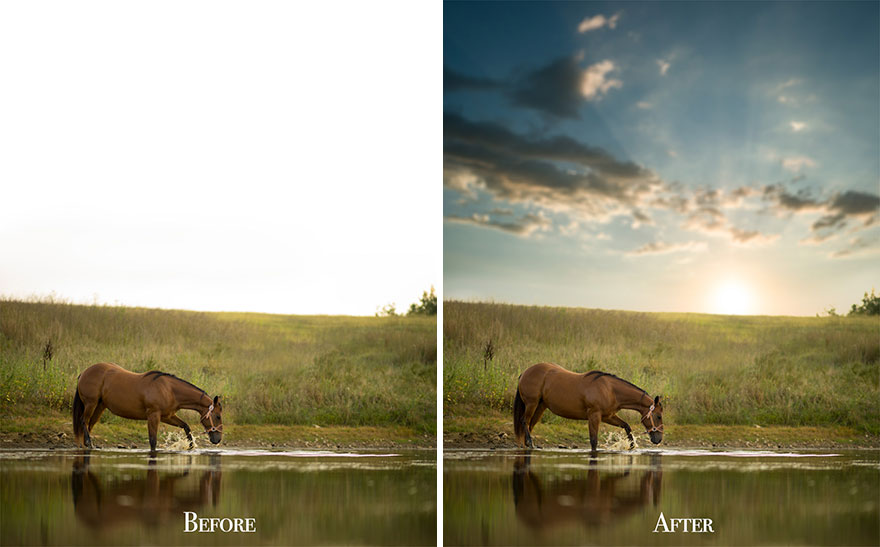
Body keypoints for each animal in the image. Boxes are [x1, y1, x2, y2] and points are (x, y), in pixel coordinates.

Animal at [74, 366, 223, 452]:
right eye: (218, 416)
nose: (218, 439)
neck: (170, 390)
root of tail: (84, 372)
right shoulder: (153, 416)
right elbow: (153, 441)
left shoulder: (167, 416)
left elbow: (185, 426)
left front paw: (190, 445)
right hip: (91, 403)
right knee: (83, 421)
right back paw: (88, 443)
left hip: (100, 406)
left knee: (90, 424)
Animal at [512, 366, 664, 452]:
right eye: (658, 416)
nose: (659, 439)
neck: (610, 390)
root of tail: (525, 372)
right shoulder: (594, 416)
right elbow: (593, 441)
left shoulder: (608, 416)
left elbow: (626, 426)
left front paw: (631, 445)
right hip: (531, 404)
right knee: (524, 421)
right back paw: (530, 443)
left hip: (541, 406)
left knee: (530, 424)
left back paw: (528, 443)